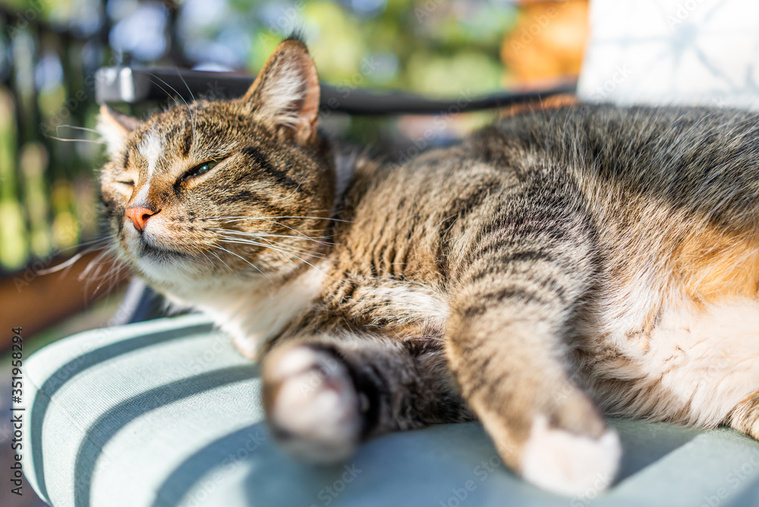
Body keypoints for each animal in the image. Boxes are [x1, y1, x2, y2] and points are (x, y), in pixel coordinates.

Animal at [95, 37, 759, 498]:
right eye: (121, 182)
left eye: (201, 169)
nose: (136, 211)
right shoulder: (420, 357)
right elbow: (373, 370)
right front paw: (304, 391)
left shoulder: (513, 204)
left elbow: (479, 323)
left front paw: (547, 432)